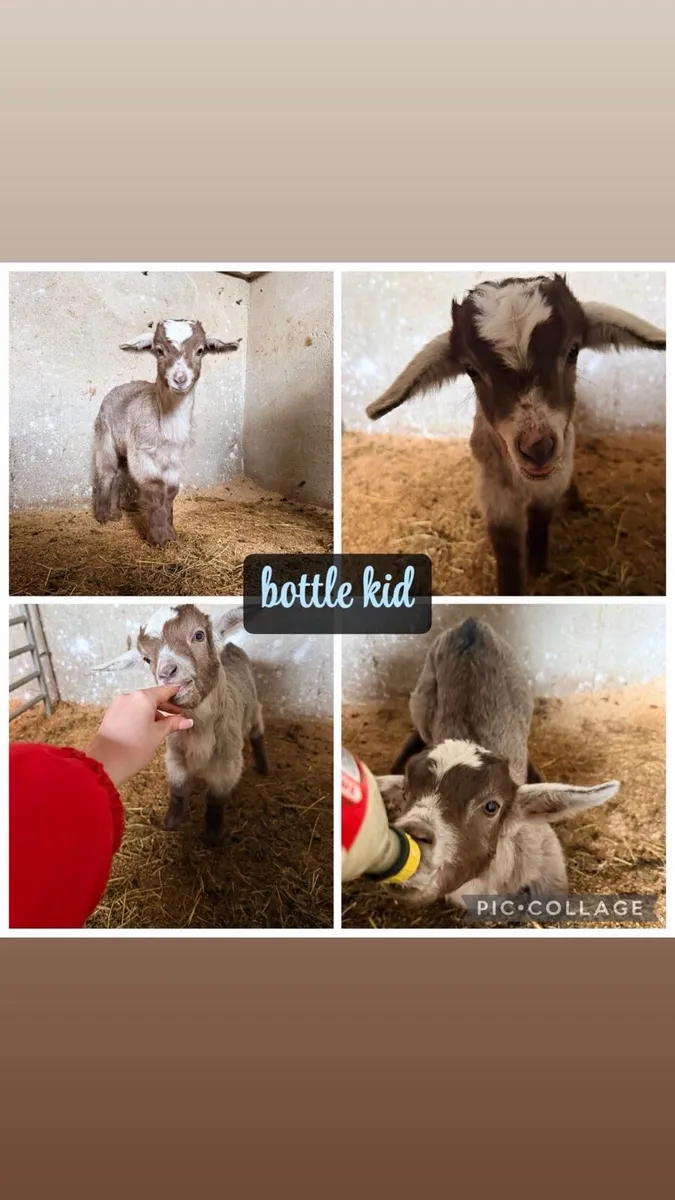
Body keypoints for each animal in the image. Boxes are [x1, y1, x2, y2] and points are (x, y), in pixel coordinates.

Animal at [92, 319, 240, 547]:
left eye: (200, 350)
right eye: (159, 351)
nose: (180, 379)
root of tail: (119, 387)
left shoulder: (176, 457)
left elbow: (170, 492)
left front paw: (171, 534)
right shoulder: (142, 453)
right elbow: (154, 489)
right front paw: (157, 539)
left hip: (125, 448)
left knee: (119, 475)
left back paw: (116, 513)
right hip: (104, 434)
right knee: (106, 472)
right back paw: (102, 516)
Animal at [94, 604, 268, 845]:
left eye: (199, 635)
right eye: (146, 659)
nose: (167, 672)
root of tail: (230, 644)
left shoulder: (228, 764)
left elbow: (215, 800)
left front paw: (214, 835)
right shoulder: (175, 757)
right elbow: (177, 792)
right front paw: (171, 822)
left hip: (252, 709)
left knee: (257, 728)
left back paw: (263, 766)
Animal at [365, 275, 665, 594]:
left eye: (573, 351)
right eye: (471, 370)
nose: (538, 447)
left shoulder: (552, 481)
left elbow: (539, 522)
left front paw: (538, 567)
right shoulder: (494, 493)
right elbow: (506, 548)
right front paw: (510, 587)